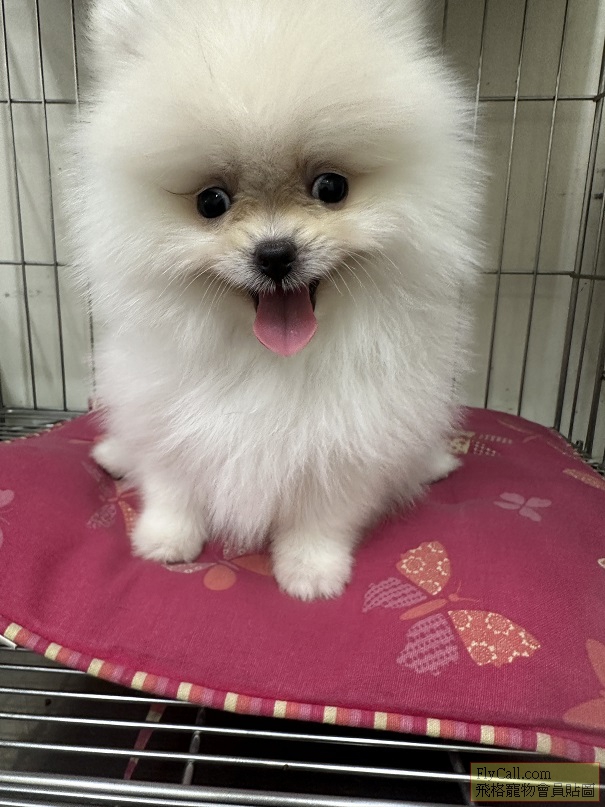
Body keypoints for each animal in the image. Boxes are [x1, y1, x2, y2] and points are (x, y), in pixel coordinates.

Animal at [68, 0, 482, 600]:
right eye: (211, 201)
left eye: (331, 187)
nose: (275, 253)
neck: (269, 359)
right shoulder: (165, 413)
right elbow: (172, 483)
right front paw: (165, 540)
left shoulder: (349, 438)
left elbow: (322, 514)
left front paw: (311, 570)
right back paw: (115, 455)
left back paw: (431, 463)